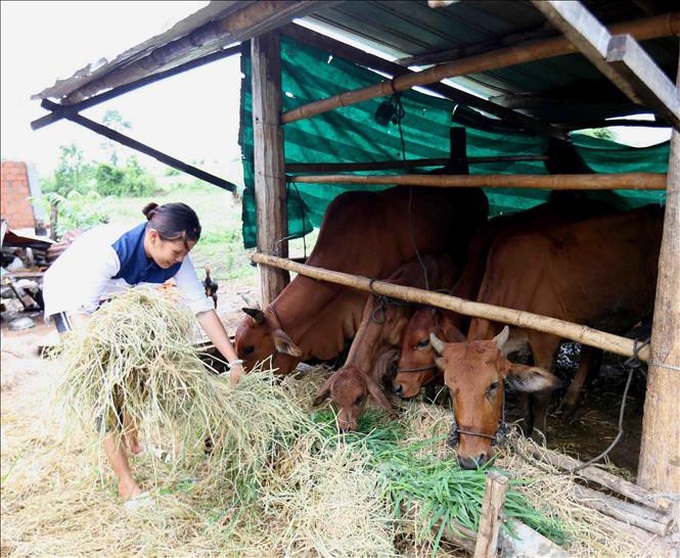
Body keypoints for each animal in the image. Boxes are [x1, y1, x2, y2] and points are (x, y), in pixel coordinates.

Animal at [432, 205, 660, 468]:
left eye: (493, 385)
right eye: (450, 388)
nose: (470, 459)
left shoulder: (546, 341)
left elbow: (541, 395)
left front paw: (538, 437)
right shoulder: (517, 347)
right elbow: (523, 391)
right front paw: (524, 429)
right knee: (589, 349)